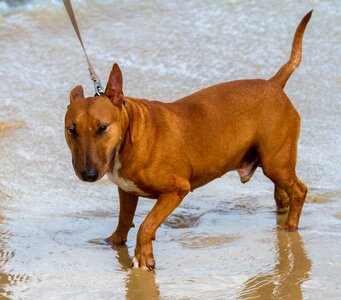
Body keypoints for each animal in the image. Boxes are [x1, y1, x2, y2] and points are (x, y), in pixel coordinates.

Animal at [63, 11, 310, 270]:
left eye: (102, 127)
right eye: (71, 130)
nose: (88, 175)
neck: (131, 132)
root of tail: (274, 83)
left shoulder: (177, 189)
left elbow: (146, 224)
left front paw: (143, 257)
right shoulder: (127, 190)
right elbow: (124, 219)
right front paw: (114, 242)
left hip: (275, 162)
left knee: (300, 190)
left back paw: (290, 226)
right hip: (274, 161)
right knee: (283, 191)